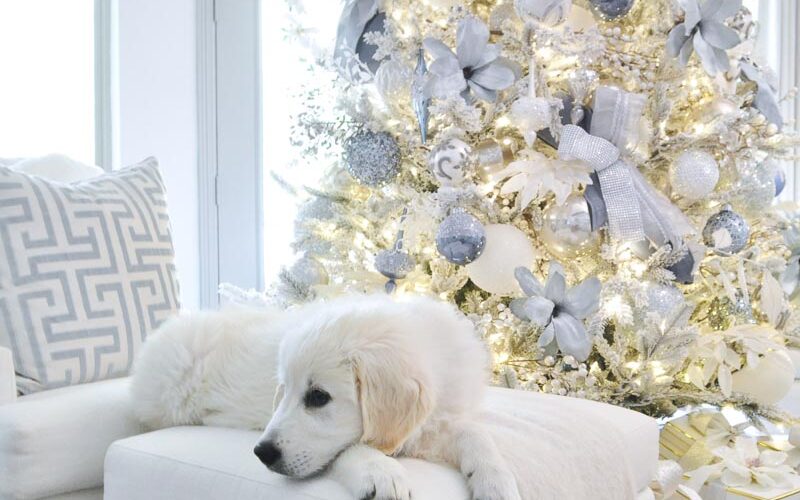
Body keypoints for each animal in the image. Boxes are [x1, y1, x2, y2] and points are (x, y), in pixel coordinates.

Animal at [133, 294, 520, 498]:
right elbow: (350, 446)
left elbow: (475, 433)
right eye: (284, 392)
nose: (261, 453)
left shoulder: (436, 422)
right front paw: (380, 472)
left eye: (318, 397)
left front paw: (496, 481)